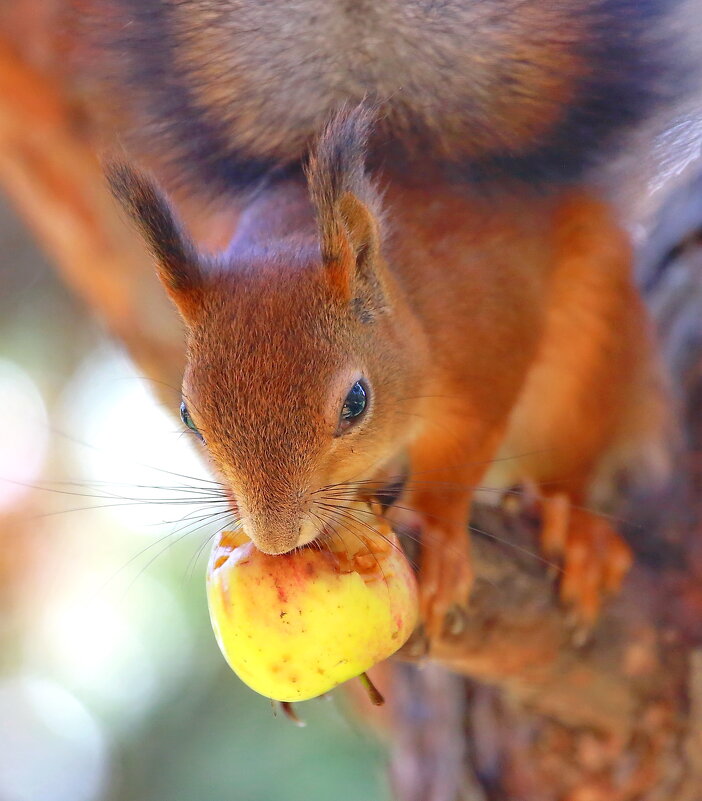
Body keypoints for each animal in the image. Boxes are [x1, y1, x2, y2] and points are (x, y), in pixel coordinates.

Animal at [80, 1, 684, 636]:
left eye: (356, 401)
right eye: (188, 416)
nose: (276, 540)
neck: (415, 306)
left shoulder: (488, 356)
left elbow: (459, 454)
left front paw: (438, 532)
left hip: (594, 353)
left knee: (574, 459)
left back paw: (578, 530)